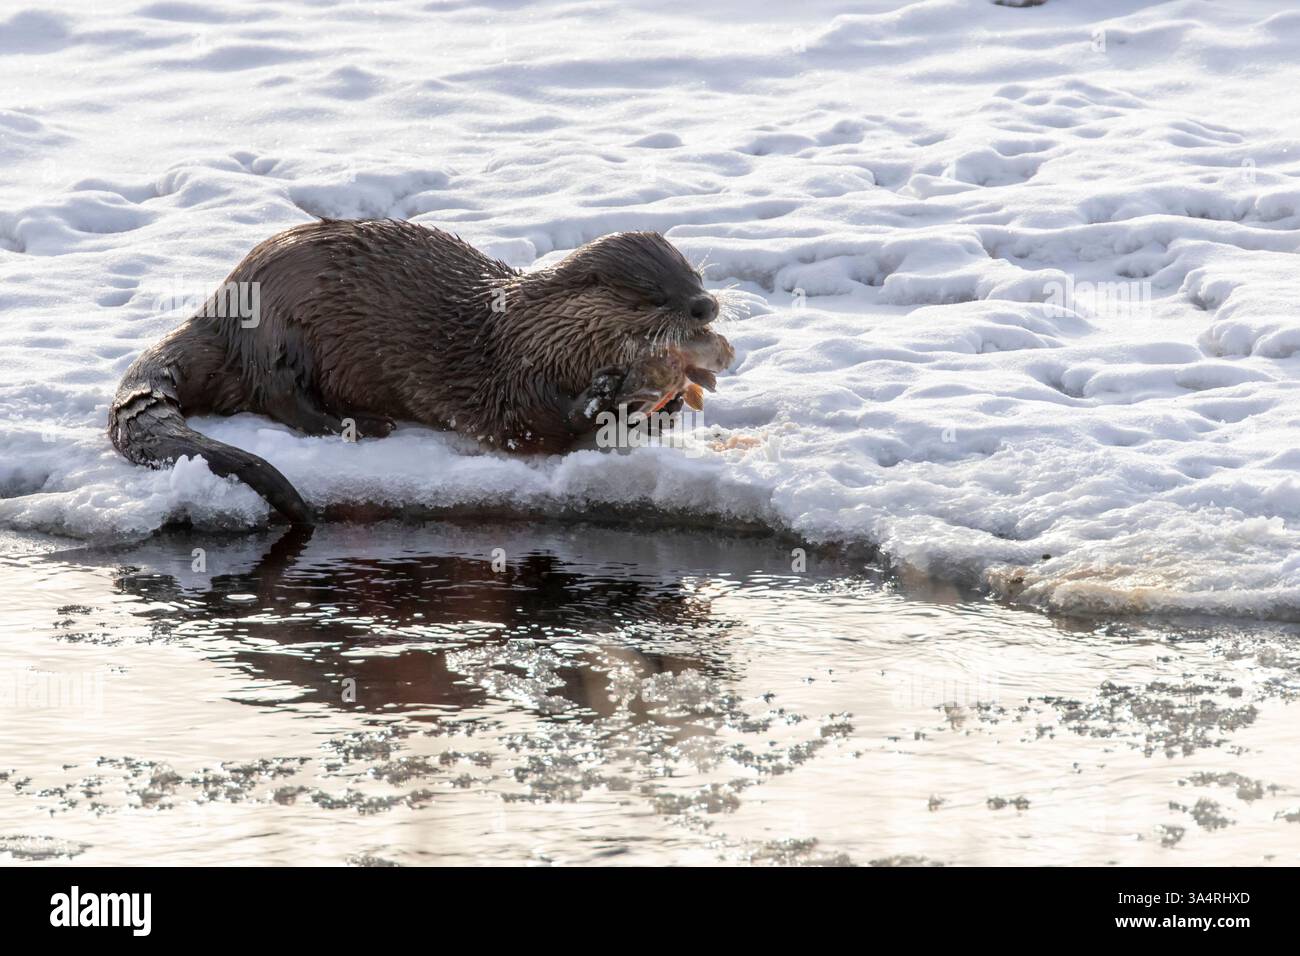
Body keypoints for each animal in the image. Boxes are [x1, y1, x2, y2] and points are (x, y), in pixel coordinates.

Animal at [108, 219, 734, 525]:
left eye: (696, 276)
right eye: (653, 296)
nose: (706, 306)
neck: (536, 336)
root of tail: (217, 308)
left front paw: (662, 407)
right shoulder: (508, 376)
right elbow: (523, 423)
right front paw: (601, 399)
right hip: (280, 333)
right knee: (284, 398)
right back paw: (359, 425)